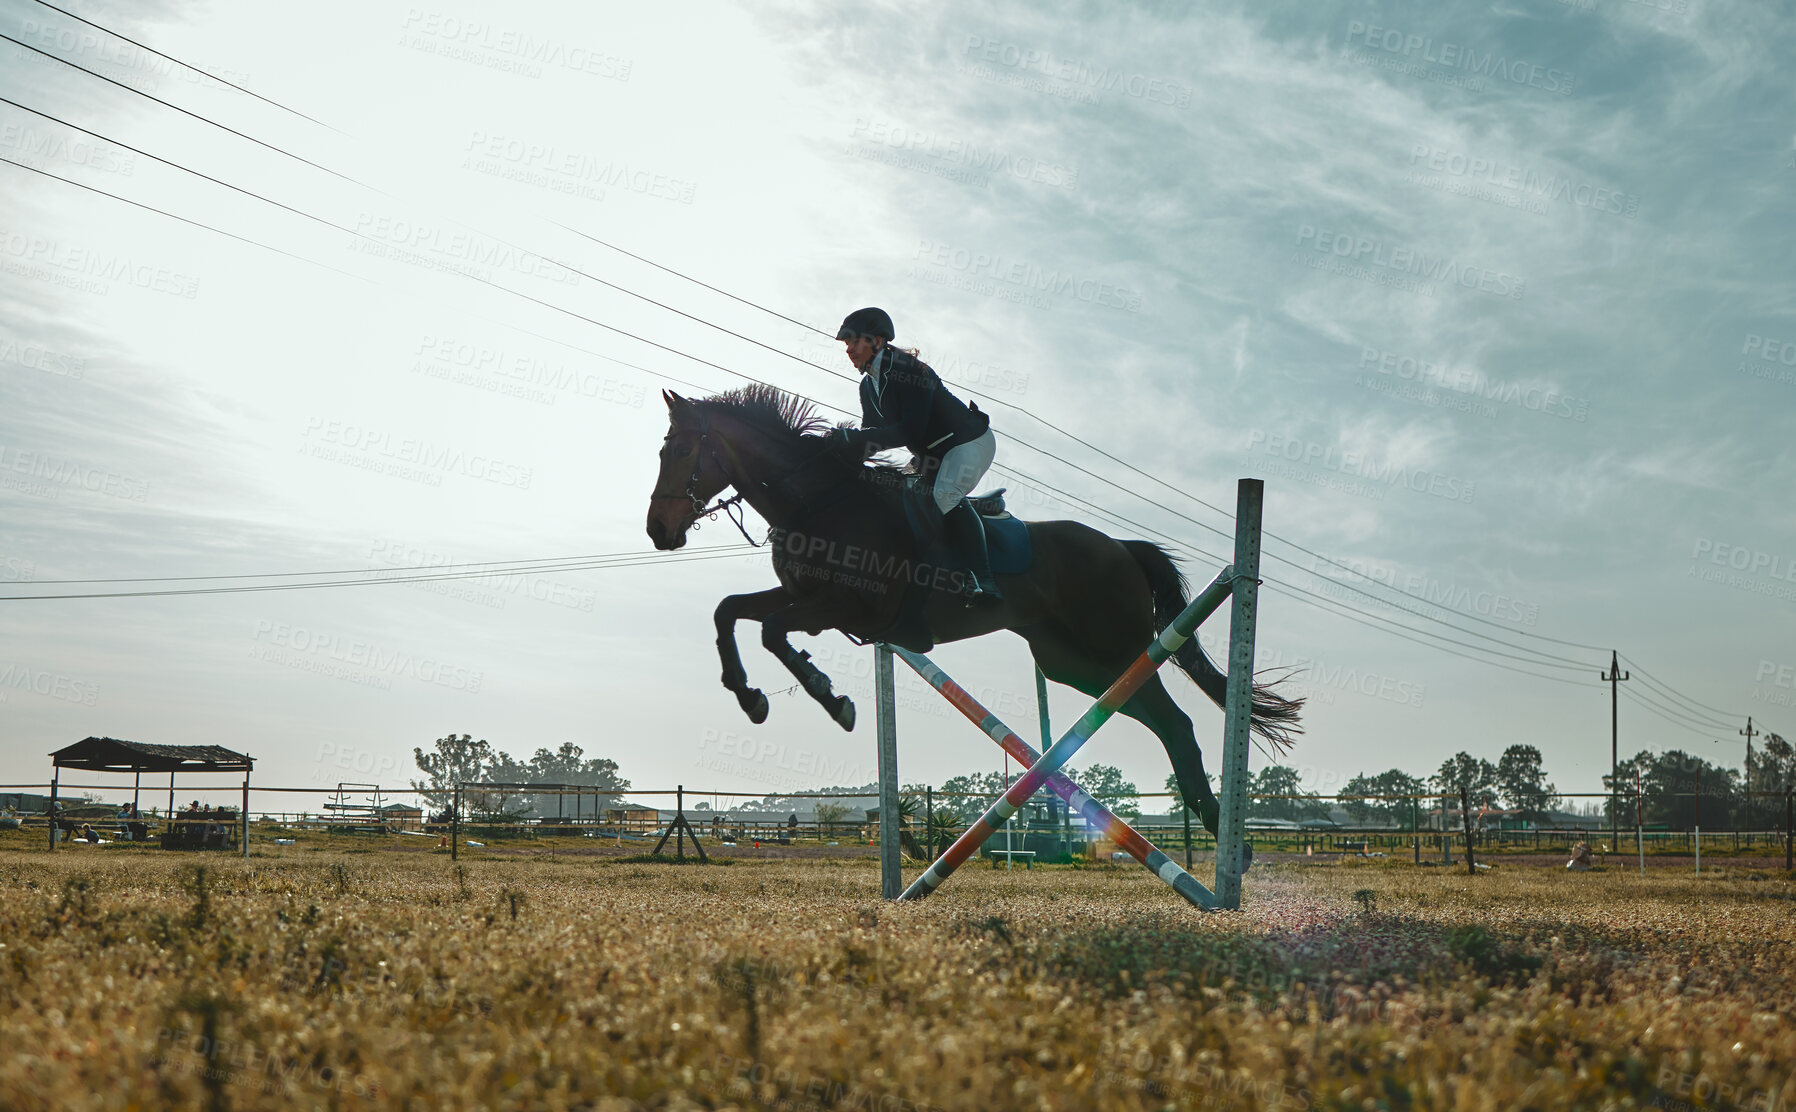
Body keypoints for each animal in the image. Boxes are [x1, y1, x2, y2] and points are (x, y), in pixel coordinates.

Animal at [650, 388, 1307, 829]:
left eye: (679, 449)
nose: (660, 531)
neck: (816, 503)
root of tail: (1121, 546)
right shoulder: (808, 599)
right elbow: (730, 612)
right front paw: (752, 697)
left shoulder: (842, 607)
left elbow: (771, 631)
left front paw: (829, 698)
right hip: (1076, 664)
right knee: (1161, 718)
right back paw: (1212, 824)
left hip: (1117, 645)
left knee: (1177, 720)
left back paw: (1222, 831)